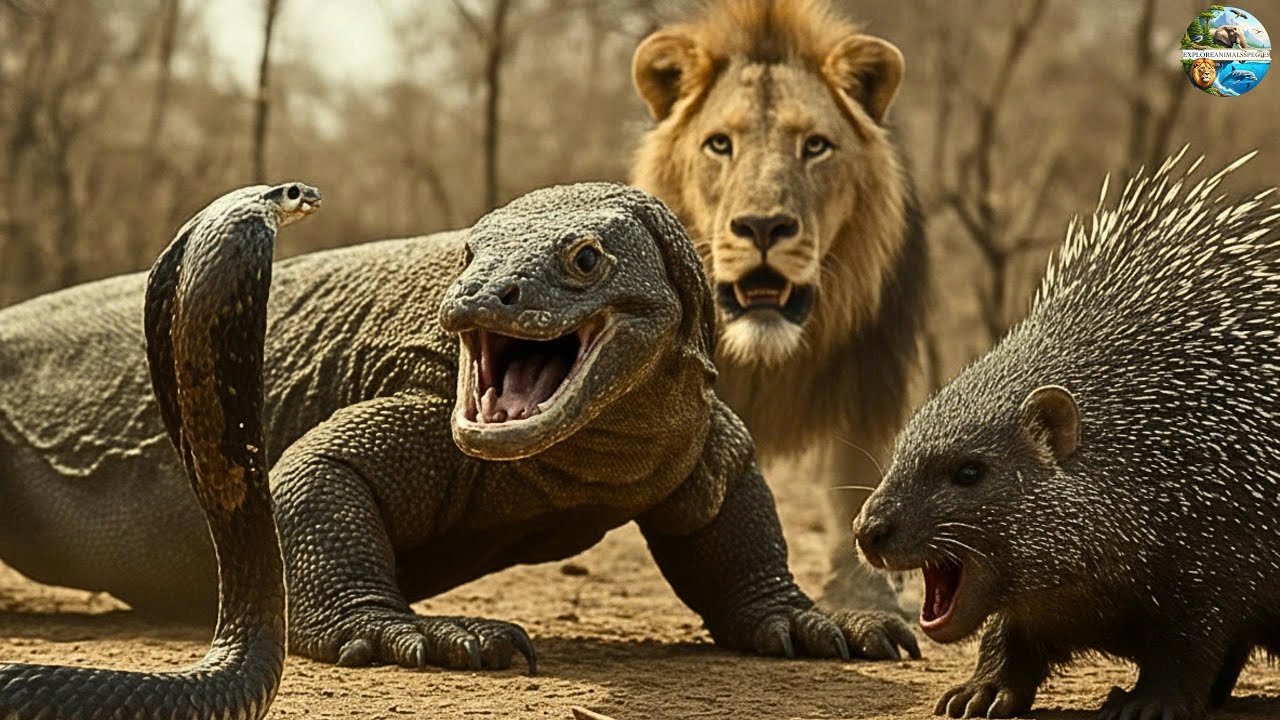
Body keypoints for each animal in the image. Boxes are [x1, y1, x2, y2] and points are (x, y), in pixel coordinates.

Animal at [630, 0, 928, 613]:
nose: (763, 226)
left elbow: (857, 483)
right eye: (720, 144)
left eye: (815, 146)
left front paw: (861, 597)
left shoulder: (873, 380)